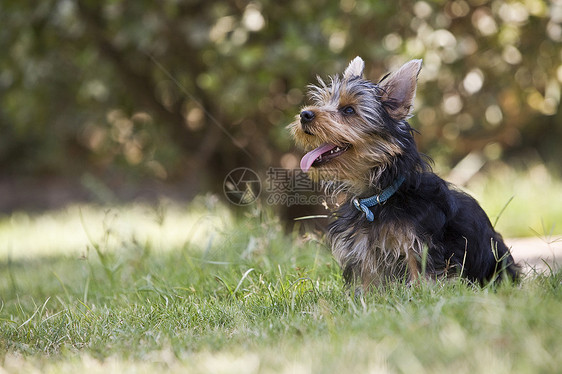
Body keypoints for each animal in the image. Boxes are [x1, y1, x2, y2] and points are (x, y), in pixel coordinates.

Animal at [288, 56, 516, 290]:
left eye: (349, 110)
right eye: (324, 103)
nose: (305, 114)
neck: (378, 196)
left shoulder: (418, 243)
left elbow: (420, 272)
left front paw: (420, 294)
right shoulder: (363, 249)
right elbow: (367, 278)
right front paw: (365, 296)